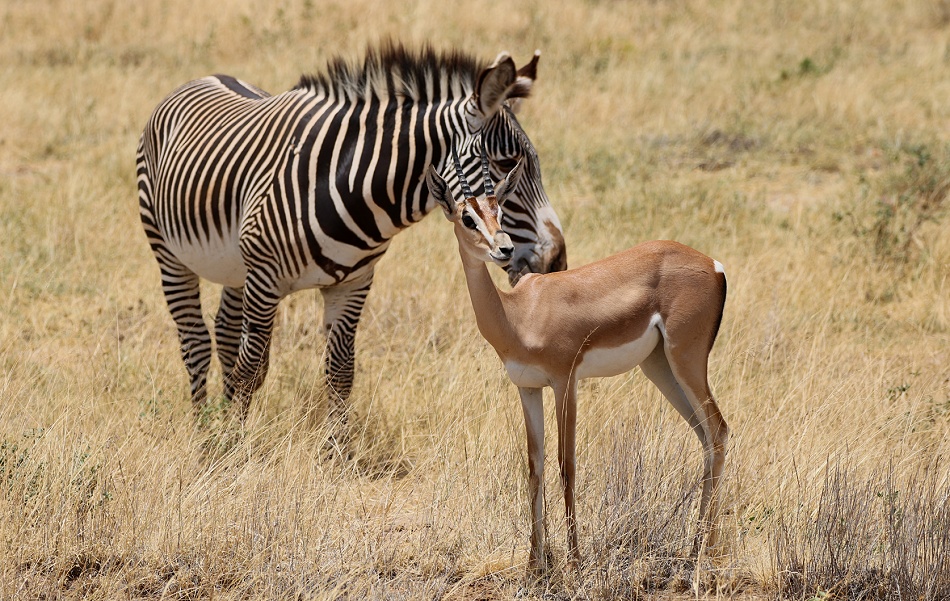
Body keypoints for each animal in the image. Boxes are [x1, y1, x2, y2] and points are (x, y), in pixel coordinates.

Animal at [136, 42, 567, 418]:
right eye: (507, 162)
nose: (557, 261)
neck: (349, 186)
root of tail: (204, 77)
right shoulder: (264, 279)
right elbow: (251, 370)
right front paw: (236, 451)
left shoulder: (353, 283)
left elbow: (341, 374)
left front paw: (336, 455)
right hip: (170, 254)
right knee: (195, 342)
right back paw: (205, 434)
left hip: (235, 269)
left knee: (225, 334)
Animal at [425, 144, 729, 571]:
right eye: (467, 217)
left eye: (498, 210)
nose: (504, 248)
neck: (518, 314)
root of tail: (713, 265)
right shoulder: (528, 388)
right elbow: (534, 466)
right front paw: (535, 561)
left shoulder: (564, 381)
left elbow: (566, 464)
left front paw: (573, 558)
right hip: (660, 367)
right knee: (704, 436)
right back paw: (695, 546)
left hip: (687, 359)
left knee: (718, 430)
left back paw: (707, 552)